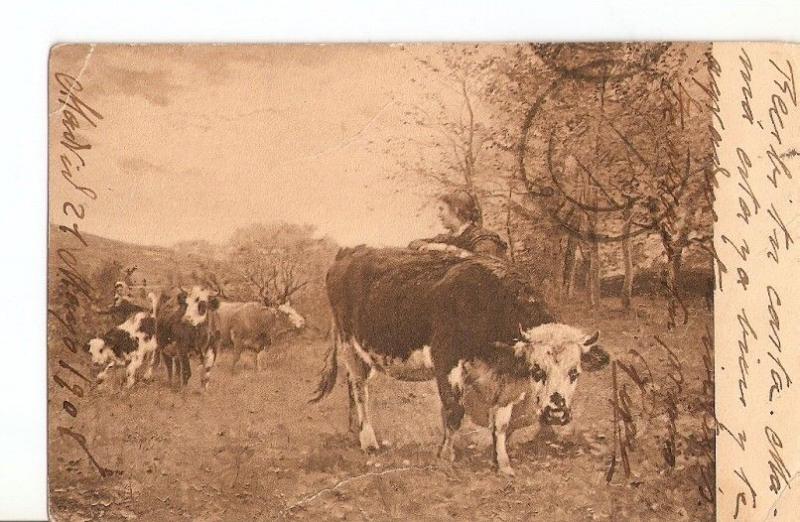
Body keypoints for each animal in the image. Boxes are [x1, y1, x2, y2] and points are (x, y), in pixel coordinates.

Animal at [310, 246, 608, 474]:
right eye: (536, 370)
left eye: (575, 372)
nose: (557, 411)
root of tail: (351, 251)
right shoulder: (446, 359)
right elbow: (454, 412)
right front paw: (445, 457)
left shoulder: (504, 383)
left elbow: (501, 423)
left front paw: (502, 464)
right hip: (349, 344)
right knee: (360, 390)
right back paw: (368, 441)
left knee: (351, 387)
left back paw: (354, 430)